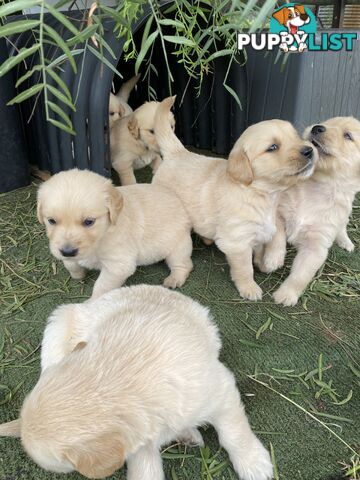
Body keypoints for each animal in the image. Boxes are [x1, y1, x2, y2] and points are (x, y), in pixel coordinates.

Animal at [0, 284, 272, 480]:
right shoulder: (139, 443)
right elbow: (145, 470)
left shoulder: (221, 390)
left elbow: (234, 434)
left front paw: (255, 464)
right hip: (56, 330)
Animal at [36, 168, 193, 296]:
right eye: (51, 221)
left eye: (89, 222)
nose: (68, 251)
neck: (103, 234)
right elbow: (70, 264)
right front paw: (78, 274)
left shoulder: (118, 265)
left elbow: (102, 286)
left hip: (178, 246)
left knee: (184, 264)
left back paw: (174, 279)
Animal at [153, 96, 316, 300]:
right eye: (272, 147)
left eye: (295, 137)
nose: (310, 150)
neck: (260, 194)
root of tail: (177, 152)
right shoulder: (237, 242)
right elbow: (245, 269)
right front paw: (249, 288)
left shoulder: (264, 228)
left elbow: (265, 245)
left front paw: (265, 262)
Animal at [260, 115, 360, 308]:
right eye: (327, 123)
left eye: (348, 136)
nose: (317, 128)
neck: (318, 186)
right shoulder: (278, 212)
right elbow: (277, 237)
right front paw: (272, 260)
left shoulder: (316, 247)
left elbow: (300, 276)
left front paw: (286, 295)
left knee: (343, 227)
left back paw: (346, 242)